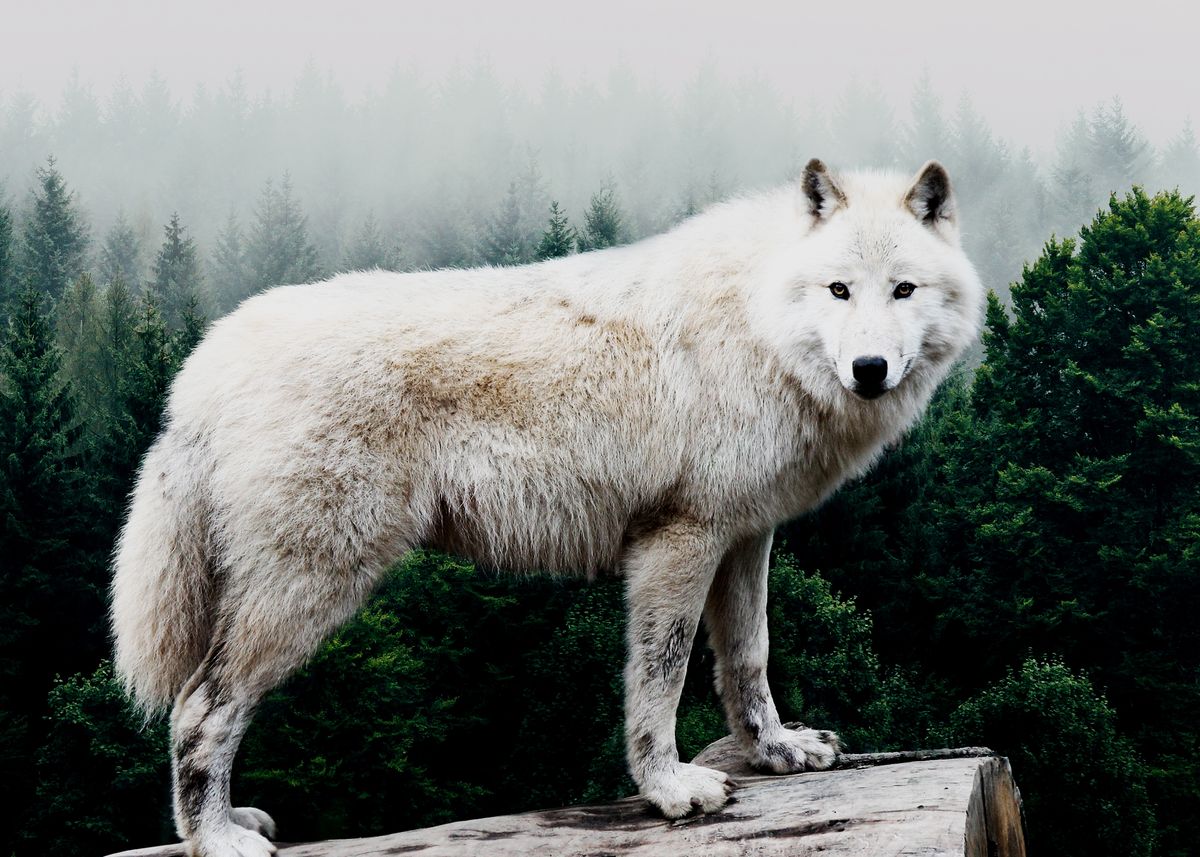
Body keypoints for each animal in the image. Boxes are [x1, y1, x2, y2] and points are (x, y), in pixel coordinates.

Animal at [108, 160, 979, 854]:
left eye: (903, 290)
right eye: (839, 290)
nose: (869, 368)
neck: (759, 321)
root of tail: (204, 365)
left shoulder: (745, 535)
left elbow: (747, 659)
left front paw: (777, 751)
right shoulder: (678, 540)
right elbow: (660, 678)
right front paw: (670, 789)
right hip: (310, 589)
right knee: (199, 708)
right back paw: (216, 839)